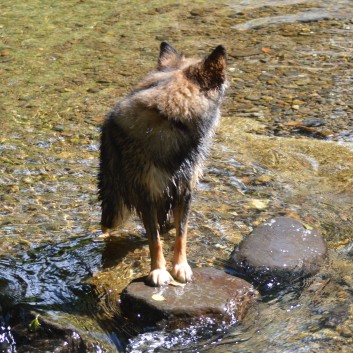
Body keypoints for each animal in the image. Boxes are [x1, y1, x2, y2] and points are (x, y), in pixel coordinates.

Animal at [97, 40, 227, 286]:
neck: (171, 121)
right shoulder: (146, 193)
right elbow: (154, 240)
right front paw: (158, 271)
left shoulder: (184, 190)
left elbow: (181, 234)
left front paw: (181, 266)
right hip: (114, 205)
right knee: (109, 226)